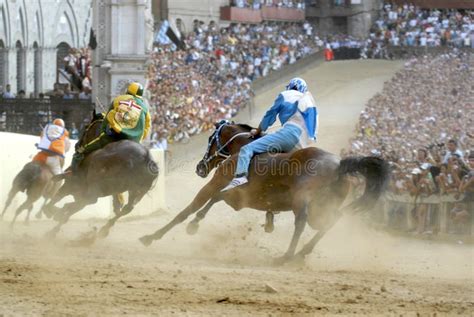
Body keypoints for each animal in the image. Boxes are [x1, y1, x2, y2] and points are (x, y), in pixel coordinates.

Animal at [140, 120, 388, 262]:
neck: (244, 149)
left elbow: (190, 209)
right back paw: (301, 253)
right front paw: (195, 223)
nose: (200, 167)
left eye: (211, 138)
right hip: (324, 208)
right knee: (331, 221)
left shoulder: (216, 184)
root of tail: (339, 165)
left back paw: (286, 256)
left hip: (303, 201)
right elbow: (215, 200)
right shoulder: (239, 197)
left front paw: (152, 236)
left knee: (301, 222)